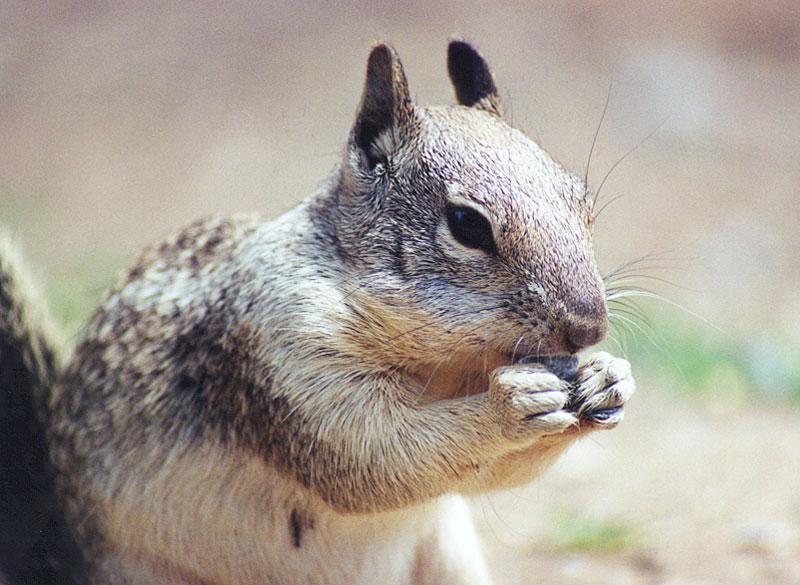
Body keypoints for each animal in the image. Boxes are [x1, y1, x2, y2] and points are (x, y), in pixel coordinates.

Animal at [1, 41, 636, 584]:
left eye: (582, 201)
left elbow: (494, 470)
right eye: (466, 225)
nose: (589, 327)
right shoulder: (277, 348)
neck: (444, 361)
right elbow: (373, 451)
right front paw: (512, 403)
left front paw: (609, 378)